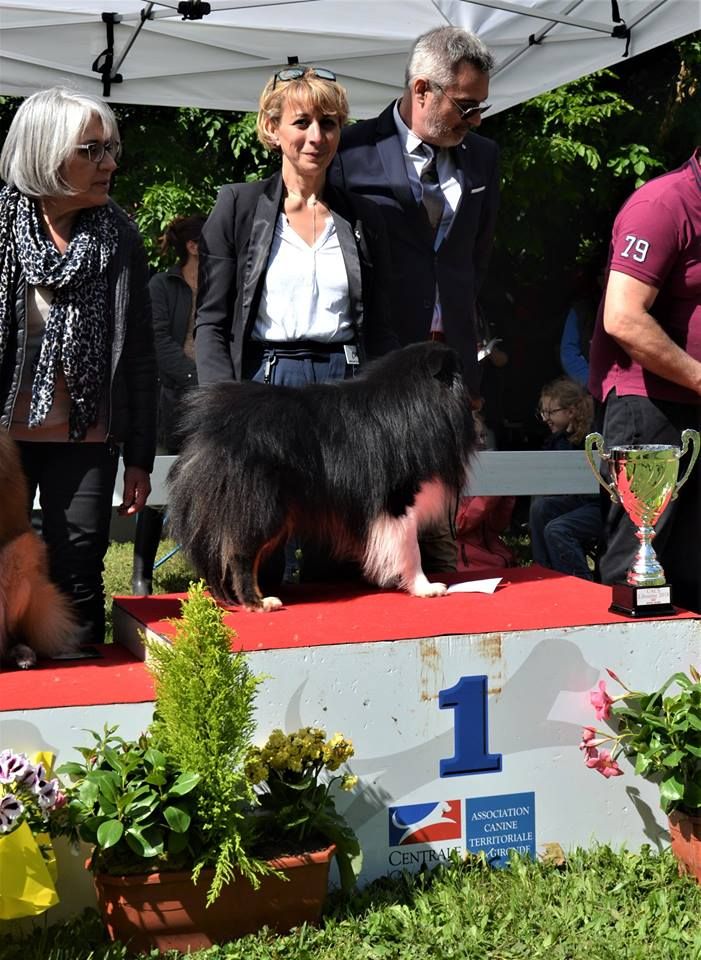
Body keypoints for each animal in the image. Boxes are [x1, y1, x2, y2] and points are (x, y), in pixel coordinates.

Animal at [169, 342, 476, 612]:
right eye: (459, 368)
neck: (416, 399)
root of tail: (211, 429)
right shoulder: (400, 498)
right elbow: (411, 548)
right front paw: (425, 588)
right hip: (262, 507)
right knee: (240, 555)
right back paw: (259, 602)